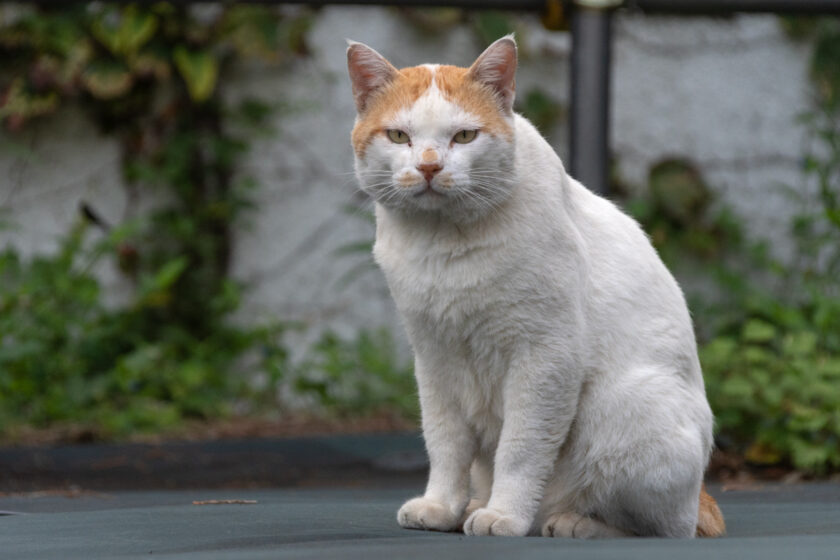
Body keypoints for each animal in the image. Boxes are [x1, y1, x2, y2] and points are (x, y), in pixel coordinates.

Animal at [344, 35, 724, 540]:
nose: (429, 167)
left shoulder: (545, 357)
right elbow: (445, 445)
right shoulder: (435, 359)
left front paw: (505, 514)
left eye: (464, 137)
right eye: (400, 137)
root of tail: (700, 493)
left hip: (631, 404)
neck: (444, 244)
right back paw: (476, 506)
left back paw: (570, 521)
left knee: (666, 528)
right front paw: (442, 506)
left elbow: (521, 449)